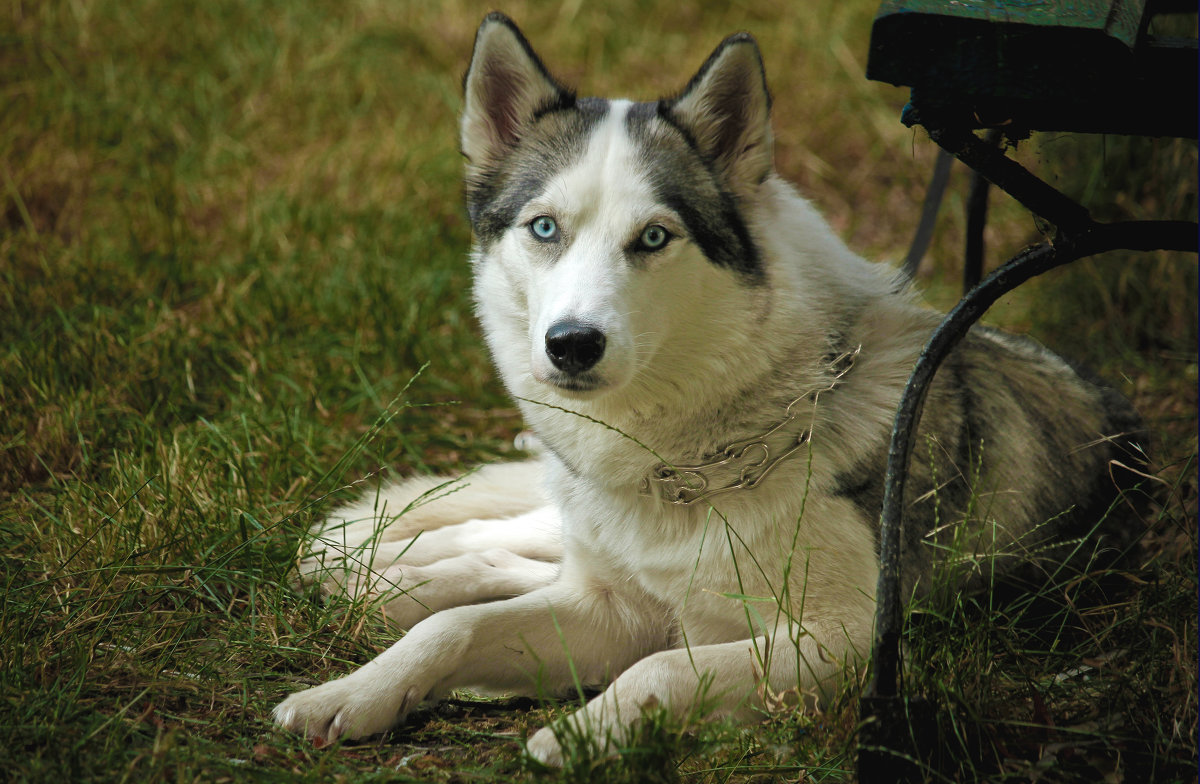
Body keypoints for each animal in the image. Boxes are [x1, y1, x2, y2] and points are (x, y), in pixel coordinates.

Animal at [274, 12, 1142, 763]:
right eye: (545, 228)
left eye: (654, 237)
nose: (572, 346)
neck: (680, 461)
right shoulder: (609, 608)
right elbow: (451, 631)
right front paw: (349, 695)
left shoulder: (847, 643)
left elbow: (655, 668)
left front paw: (584, 734)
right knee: (507, 541)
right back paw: (373, 569)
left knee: (515, 552)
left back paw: (383, 577)